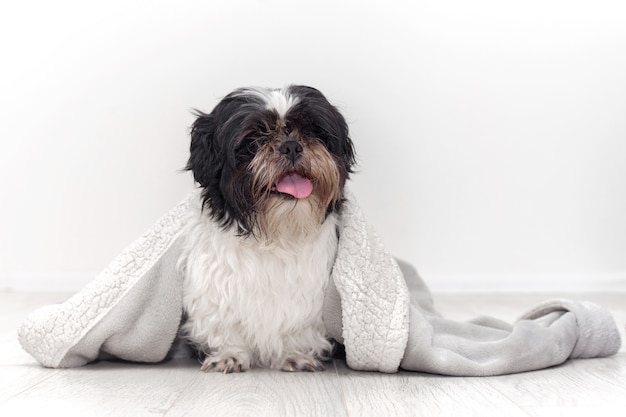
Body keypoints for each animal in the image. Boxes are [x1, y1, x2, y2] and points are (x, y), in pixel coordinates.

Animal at [178, 83, 354, 370]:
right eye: (254, 140)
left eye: (313, 131)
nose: (291, 146)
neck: (275, 233)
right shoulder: (215, 287)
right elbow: (223, 323)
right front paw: (230, 354)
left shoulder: (309, 295)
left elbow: (297, 324)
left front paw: (295, 354)